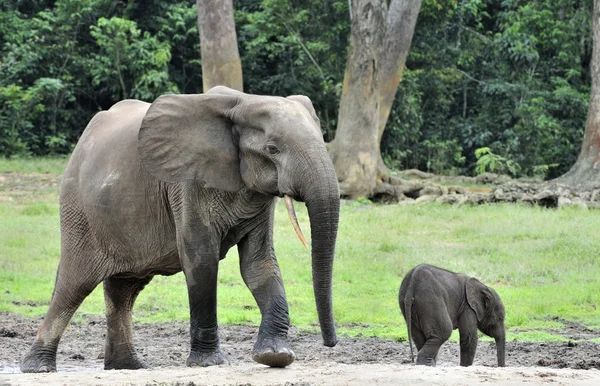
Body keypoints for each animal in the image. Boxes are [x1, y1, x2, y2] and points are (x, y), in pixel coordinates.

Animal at [21, 86, 340, 370]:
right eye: (272, 149)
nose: (331, 343)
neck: (242, 102)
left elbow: (258, 263)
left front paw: (276, 356)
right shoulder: (188, 185)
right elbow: (201, 260)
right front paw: (209, 363)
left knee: (123, 289)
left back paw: (128, 367)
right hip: (79, 212)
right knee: (73, 283)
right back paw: (39, 367)